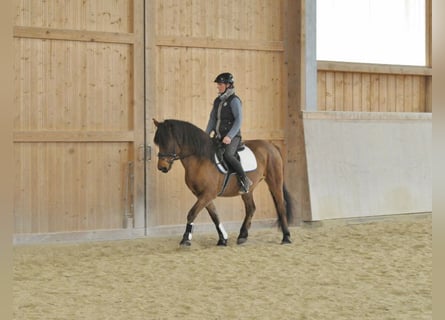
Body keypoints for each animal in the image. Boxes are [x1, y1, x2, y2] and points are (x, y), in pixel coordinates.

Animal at [151, 119, 294, 246]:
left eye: (168, 142)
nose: (162, 167)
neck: (200, 159)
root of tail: (271, 146)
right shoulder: (203, 195)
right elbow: (215, 216)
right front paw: (222, 239)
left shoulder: (208, 194)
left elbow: (192, 213)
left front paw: (186, 238)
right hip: (247, 190)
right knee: (251, 208)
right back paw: (242, 236)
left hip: (274, 181)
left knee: (281, 205)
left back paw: (286, 237)